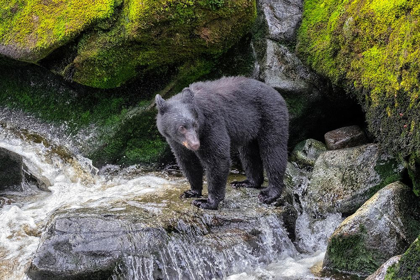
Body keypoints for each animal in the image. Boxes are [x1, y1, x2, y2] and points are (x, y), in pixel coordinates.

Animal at [154, 77, 288, 210]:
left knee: (273, 151)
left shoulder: (212, 123)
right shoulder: (175, 141)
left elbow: (217, 158)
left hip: (271, 115)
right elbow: (187, 161)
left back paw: (270, 194)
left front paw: (207, 202)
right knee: (249, 153)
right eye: (182, 127)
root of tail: (275, 92)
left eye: (195, 125)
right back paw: (247, 182)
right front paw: (192, 191)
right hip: (251, 129)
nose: (195, 145)